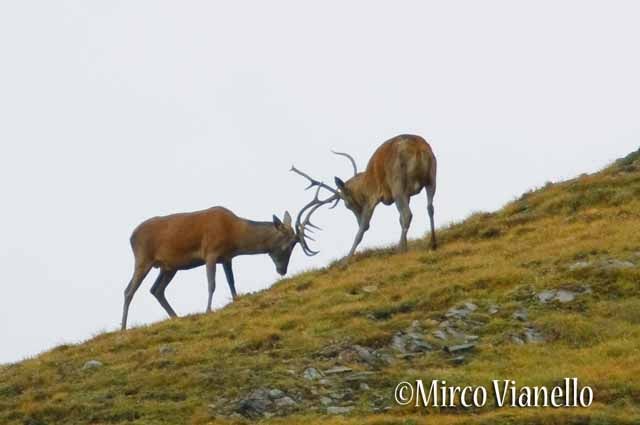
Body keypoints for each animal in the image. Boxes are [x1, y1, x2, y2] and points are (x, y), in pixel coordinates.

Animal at [121, 207, 314, 330]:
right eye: (287, 246)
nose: (282, 270)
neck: (235, 235)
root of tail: (131, 236)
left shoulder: (226, 258)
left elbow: (231, 282)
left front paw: (236, 300)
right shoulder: (211, 252)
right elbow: (212, 283)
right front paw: (208, 310)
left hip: (169, 267)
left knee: (156, 290)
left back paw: (176, 317)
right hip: (143, 258)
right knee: (129, 290)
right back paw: (123, 327)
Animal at [291, 134, 437, 258]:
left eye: (347, 205)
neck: (364, 184)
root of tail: (416, 148)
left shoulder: (372, 197)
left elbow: (362, 229)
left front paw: (346, 259)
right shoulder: (406, 194)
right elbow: (399, 219)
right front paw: (405, 246)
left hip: (397, 182)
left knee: (407, 213)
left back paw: (400, 249)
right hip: (431, 175)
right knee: (429, 207)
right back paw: (432, 243)